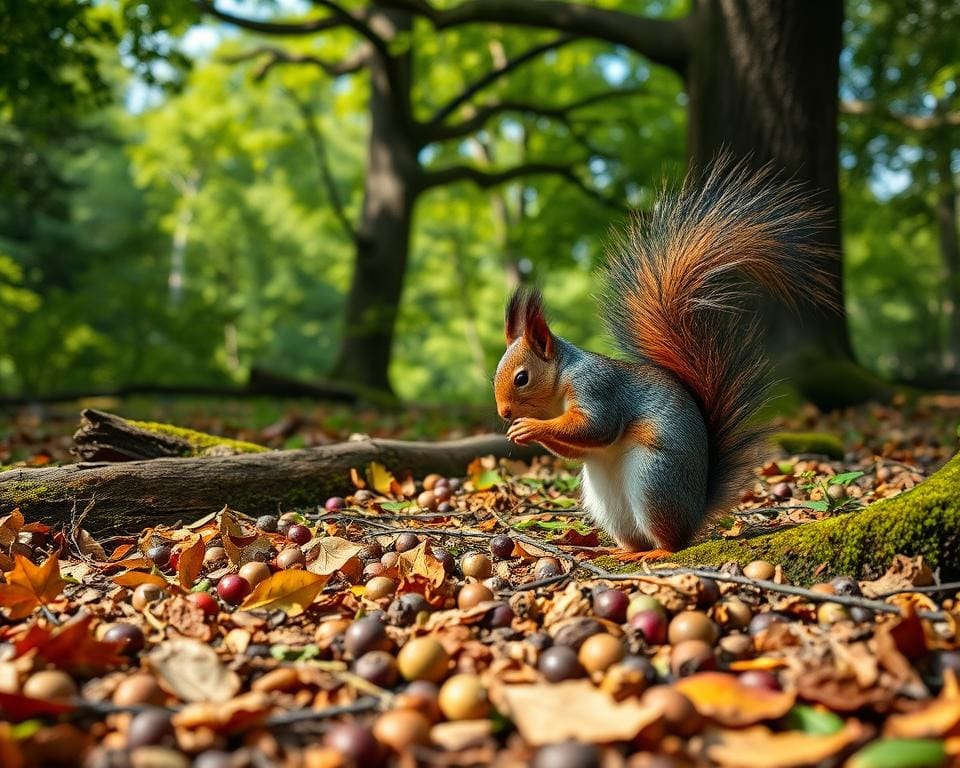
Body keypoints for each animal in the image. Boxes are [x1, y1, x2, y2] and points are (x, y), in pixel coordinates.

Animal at [494, 159, 834, 554]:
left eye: (522, 378)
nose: (504, 413)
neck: (561, 380)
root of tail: (696, 515)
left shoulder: (596, 386)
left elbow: (597, 426)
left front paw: (531, 427)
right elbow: (580, 448)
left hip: (653, 479)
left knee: (672, 542)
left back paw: (655, 552)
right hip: (607, 501)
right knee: (633, 537)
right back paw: (617, 550)